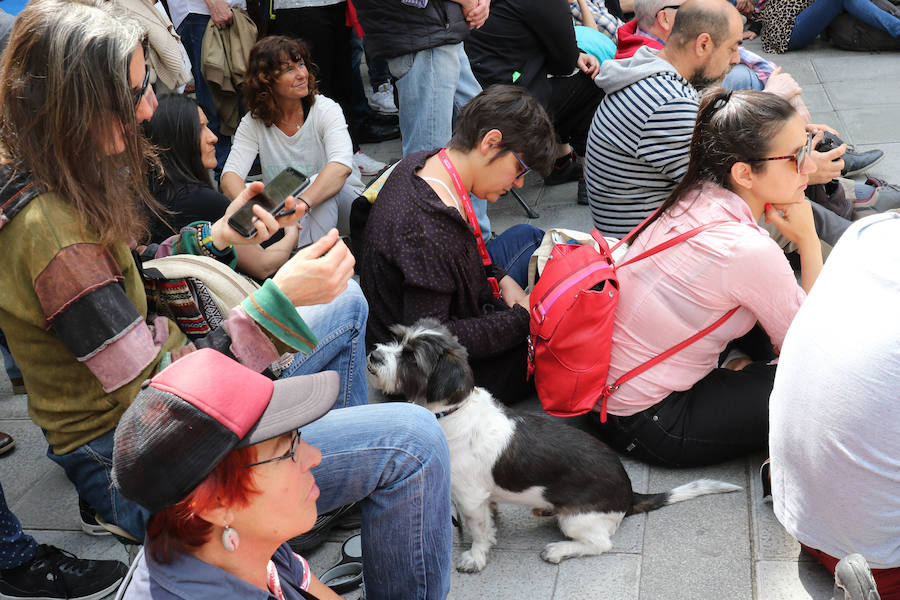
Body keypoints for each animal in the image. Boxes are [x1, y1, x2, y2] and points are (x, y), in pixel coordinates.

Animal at [366, 318, 740, 572]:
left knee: (600, 543)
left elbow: (478, 530)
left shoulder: (469, 497)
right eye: (398, 339)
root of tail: (629, 493)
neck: (454, 411)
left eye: (411, 359)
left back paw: (559, 550)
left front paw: (475, 555)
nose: (373, 354)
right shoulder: (477, 497)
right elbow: (487, 518)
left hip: (576, 520)